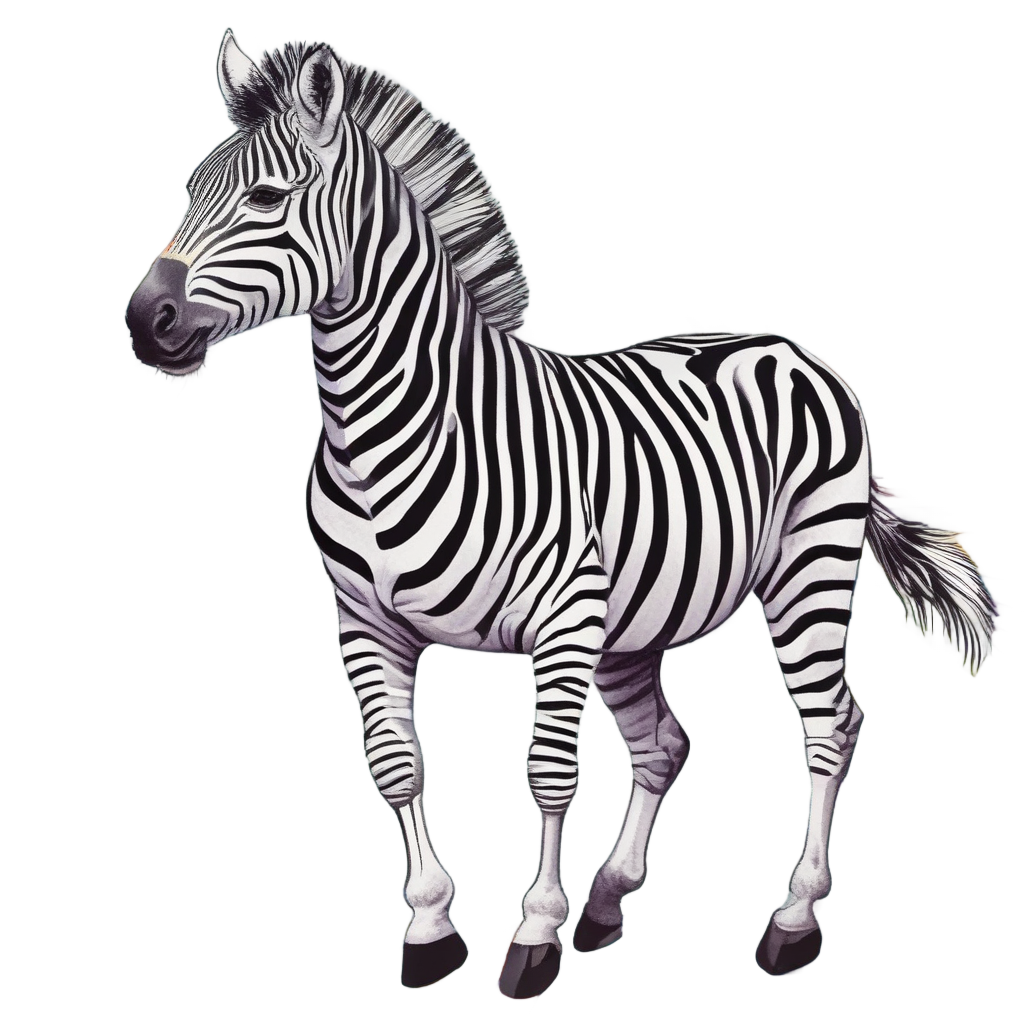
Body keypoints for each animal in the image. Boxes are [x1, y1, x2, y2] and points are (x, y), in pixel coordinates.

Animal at [126, 33, 993, 996]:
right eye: (193, 191)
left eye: (266, 199)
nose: (146, 318)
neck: (388, 432)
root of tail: (781, 343)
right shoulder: (364, 621)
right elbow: (395, 768)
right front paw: (429, 929)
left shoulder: (562, 620)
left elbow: (547, 776)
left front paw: (534, 933)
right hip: (635, 624)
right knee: (663, 743)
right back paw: (609, 900)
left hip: (807, 569)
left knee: (829, 726)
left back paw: (792, 919)